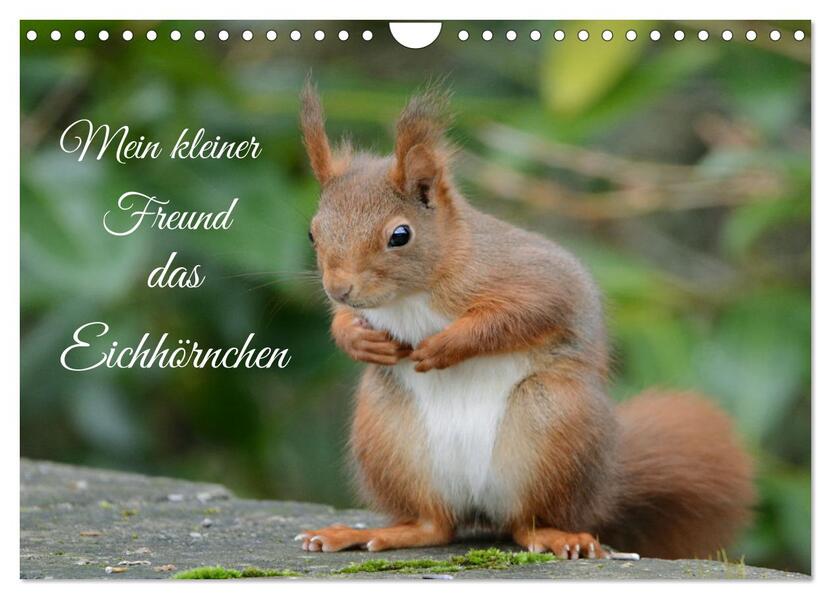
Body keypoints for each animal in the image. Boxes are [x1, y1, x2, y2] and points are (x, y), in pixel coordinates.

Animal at [294, 81, 755, 560]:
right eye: (312, 232)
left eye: (400, 235)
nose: (339, 288)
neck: (414, 294)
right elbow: (347, 321)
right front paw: (357, 338)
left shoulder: (532, 278)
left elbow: (521, 313)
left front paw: (445, 346)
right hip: (389, 436)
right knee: (435, 526)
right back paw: (369, 533)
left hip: (550, 425)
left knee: (525, 524)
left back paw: (559, 536)